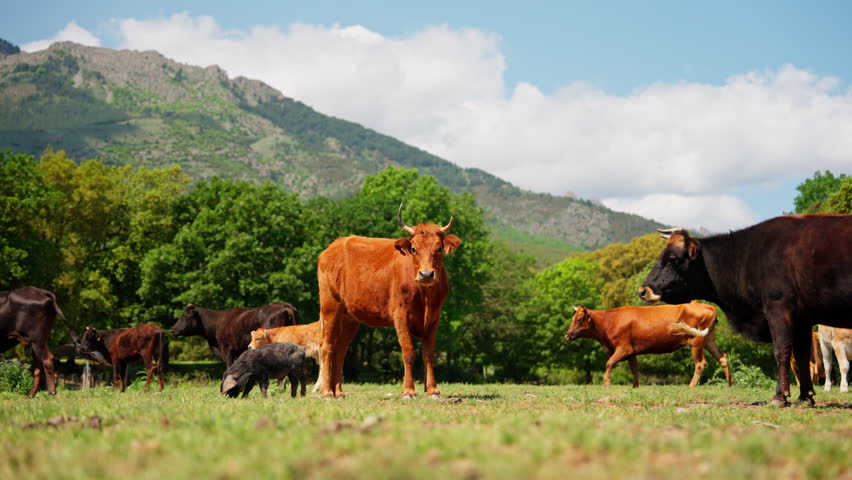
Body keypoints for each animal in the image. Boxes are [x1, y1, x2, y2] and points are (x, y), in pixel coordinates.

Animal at [317, 203, 460, 399]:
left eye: (439, 248)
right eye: (413, 249)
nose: (426, 274)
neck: (424, 296)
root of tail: (335, 245)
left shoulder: (434, 317)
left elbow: (428, 353)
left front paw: (432, 390)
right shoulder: (400, 315)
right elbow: (409, 352)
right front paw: (408, 391)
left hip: (349, 317)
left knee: (340, 349)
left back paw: (338, 392)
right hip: (330, 305)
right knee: (327, 346)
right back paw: (326, 392)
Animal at [564, 303, 733, 387]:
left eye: (578, 320)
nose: (567, 335)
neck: (610, 321)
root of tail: (704, 305)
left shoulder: (624, 348)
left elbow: (609, 363)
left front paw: (606, 383)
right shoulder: (631, 352)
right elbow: (635, 370)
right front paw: (635, 388)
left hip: (696, 341)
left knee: (700, 364)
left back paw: (690, 387)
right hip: (708, 338)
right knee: (723, 357)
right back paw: (730, 384)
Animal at [639, 215, 852, 406]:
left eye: (672, 259)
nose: (643, 290)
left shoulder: (778, 309)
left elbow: (781, 351)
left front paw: (780, 397)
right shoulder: (802, 320)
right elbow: (801, 356)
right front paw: (805, 397)